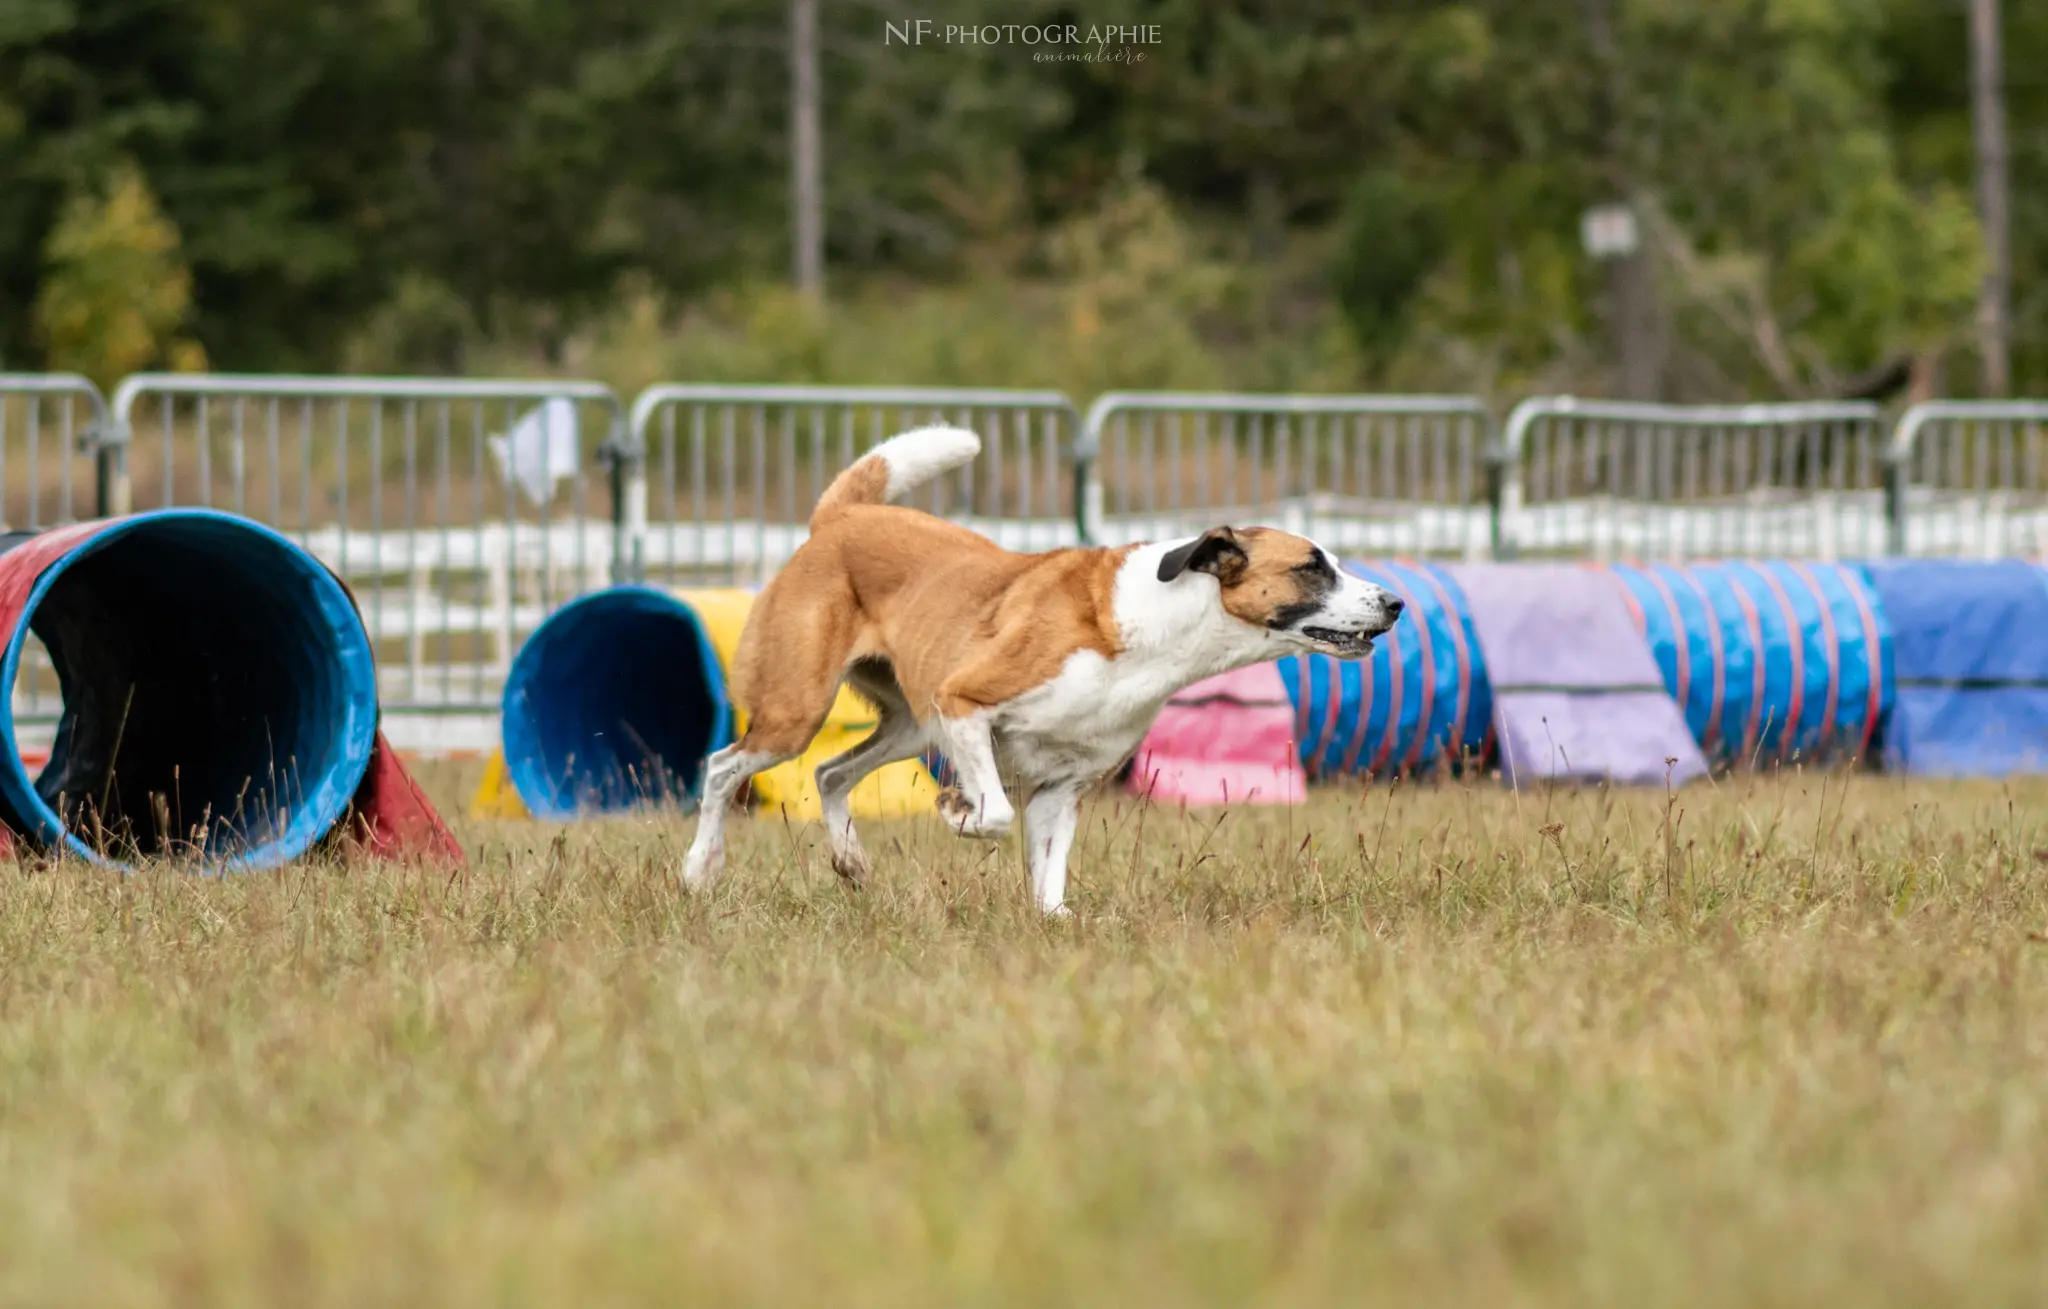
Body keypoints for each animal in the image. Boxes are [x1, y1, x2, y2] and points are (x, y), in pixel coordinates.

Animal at [679, 428, 1400, 909]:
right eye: (1312, 566)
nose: (1395, 602)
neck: (1158, 624)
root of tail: (841, 517)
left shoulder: (1062, 782)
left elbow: (1049, 875)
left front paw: (1054, 921)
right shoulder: (964, 703)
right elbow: (995, 810)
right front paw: (957, 811)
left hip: (912, 725)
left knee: (830, 772)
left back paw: (851, 860)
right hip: (800, 711)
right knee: (723, 766)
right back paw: (697, 870)